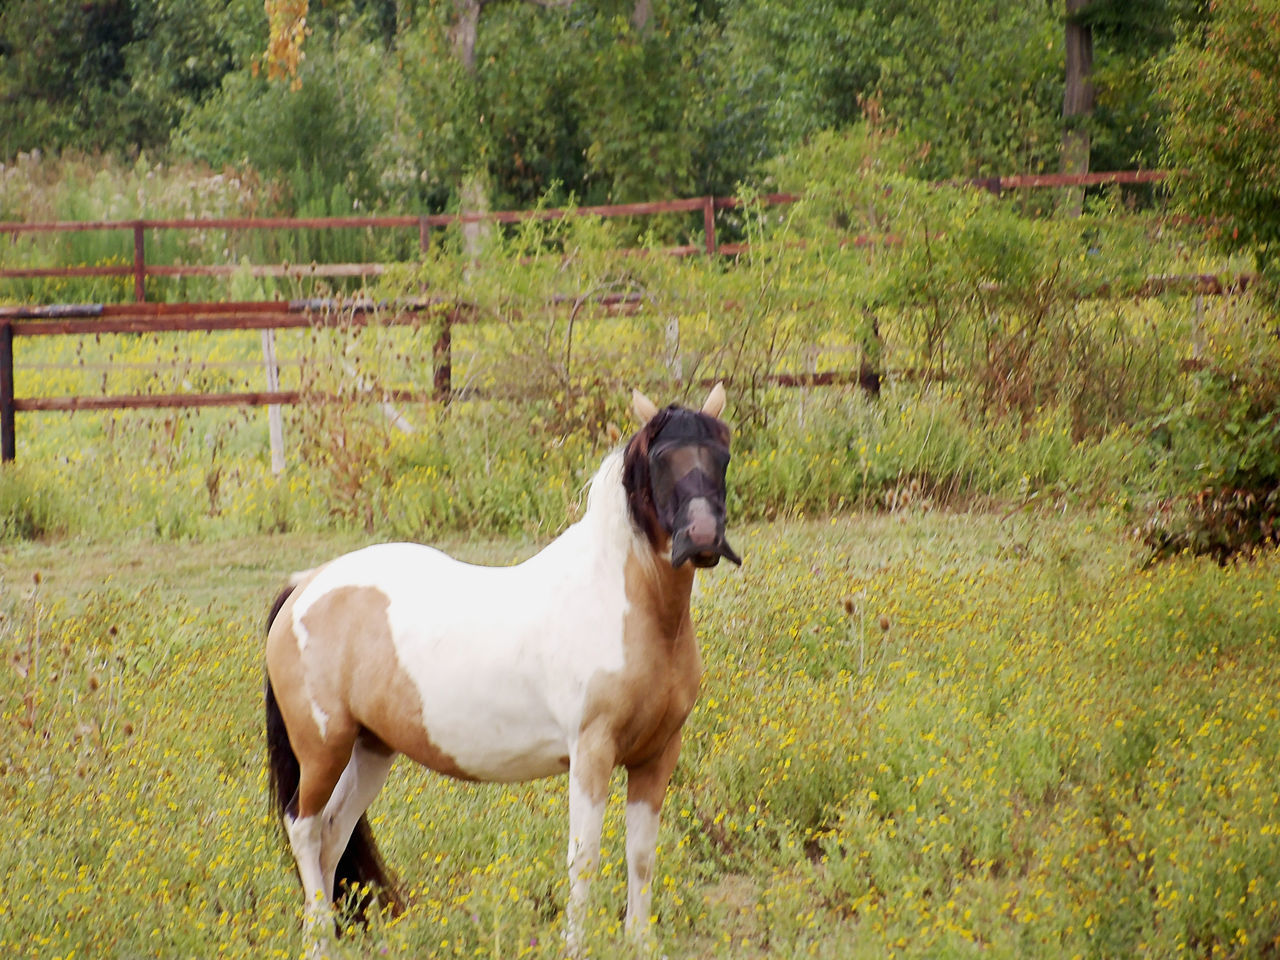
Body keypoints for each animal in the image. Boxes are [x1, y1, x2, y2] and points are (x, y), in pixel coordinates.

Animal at [262, 384, 742, 957]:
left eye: (722, 453)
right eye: (662, 457)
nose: (703, 537)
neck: (624, 603)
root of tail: (305, 584)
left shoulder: (657, 754)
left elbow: (641, 854)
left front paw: (640, 942)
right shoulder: (592, 753)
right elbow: (584, 858)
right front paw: (576, 946)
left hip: (371, 749)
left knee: (333, 836)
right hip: (322, 749)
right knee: (305, 830)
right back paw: (319, 939)